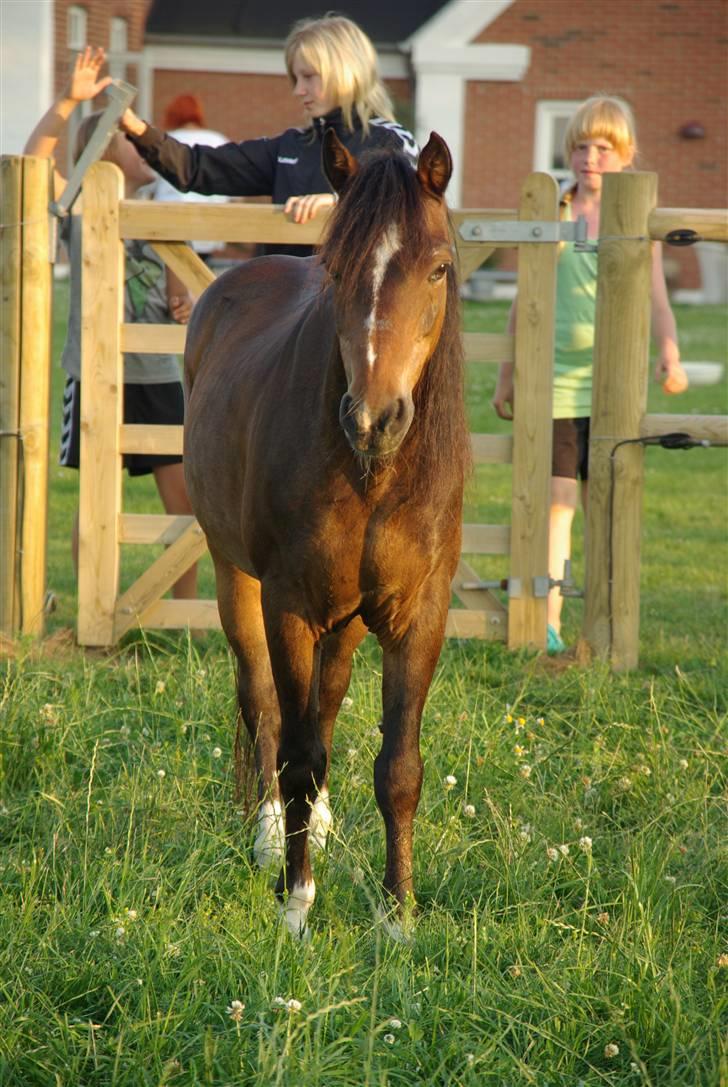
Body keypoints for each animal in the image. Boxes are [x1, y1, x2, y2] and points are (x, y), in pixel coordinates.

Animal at [185, 131, 471, 934]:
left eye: (439, 267)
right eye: (338, 269)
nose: (374, 418)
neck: (372, 475)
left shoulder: (418, 616)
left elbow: (398, 766)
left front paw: (398, 915)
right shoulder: (288, 605)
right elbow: (297, 752)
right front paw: (295, 902)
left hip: (345, 619)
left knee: (330, 699)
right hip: (235, 578)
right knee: (262, 702)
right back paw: (267, 832)